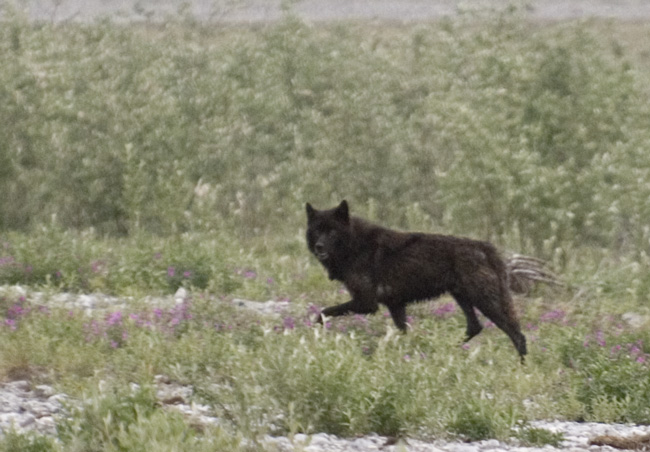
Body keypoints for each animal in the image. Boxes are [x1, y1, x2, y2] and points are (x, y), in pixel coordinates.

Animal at [306, 200, 528, 360]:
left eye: (332, 231)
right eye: (317, 230)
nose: (319, 246)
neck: (354, 245)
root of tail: (485, 247)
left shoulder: (366, 303)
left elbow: (323, 312)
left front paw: (311, 334)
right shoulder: (395, 305)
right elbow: (403, 332)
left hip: (483, 301)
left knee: (517, 334)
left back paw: (521, 368)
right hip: (463, 297)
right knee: (476, 327)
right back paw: (443, 349)